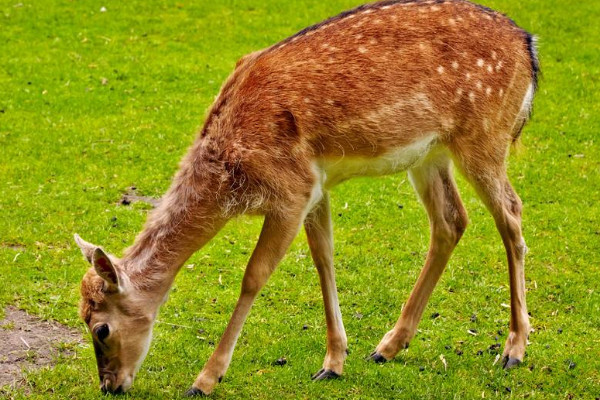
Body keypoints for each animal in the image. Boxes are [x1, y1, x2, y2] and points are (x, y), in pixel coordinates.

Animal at [75, 0, 540, 394]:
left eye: (101, 328)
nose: (109, 385)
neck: (229, 168)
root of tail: (529, 47)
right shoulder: (315, 185)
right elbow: (323, 257)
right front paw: (334, 362)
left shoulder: (291, 190)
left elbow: (254, 275)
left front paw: (205, 379)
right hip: (430, 153)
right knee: (451, 220)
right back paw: (388, 346)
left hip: (485, 136)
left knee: (511, 213)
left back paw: (514, 349)